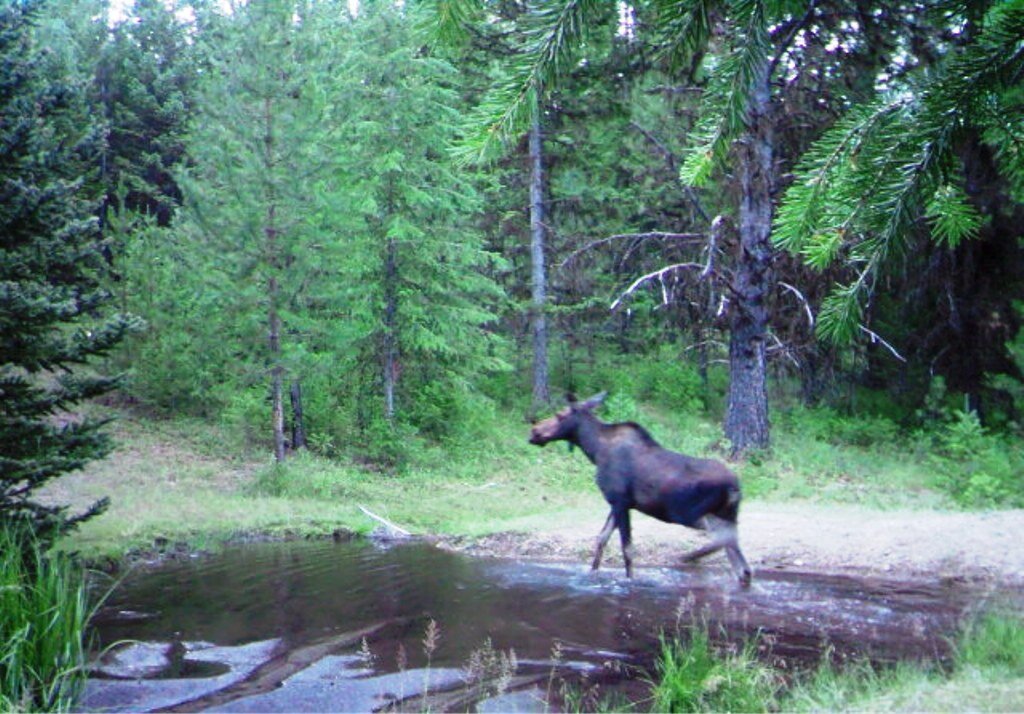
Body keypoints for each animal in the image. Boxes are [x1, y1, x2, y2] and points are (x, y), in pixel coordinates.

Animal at [528, 389, 753, 585]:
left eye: (560, 415)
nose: (535, 431)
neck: (595, 450)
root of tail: (736, 487)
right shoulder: (617, 503)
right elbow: (601, 539)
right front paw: (592, 574)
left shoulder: (621, 501)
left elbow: (627, 548)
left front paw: (631, 580)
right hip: (723, 514)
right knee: (740, 562)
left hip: (689, 513)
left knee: (725, 540)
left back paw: (687, 557)